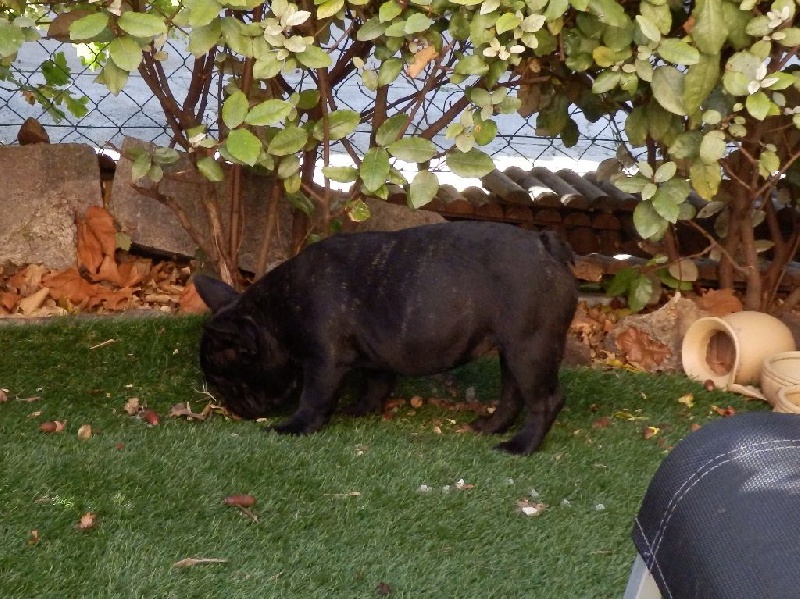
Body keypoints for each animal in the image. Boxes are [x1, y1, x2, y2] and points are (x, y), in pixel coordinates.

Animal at [194, 221, 577, 455]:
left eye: (226, 382)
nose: (232, 406)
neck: (275, 312)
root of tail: (545, 245)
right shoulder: (375, 352)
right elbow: (377, 382)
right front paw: (361, 409)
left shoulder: (324, 361)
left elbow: (314, 398)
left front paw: (294, 426)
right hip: (513, 348)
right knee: (512, 394)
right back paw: (492, 427)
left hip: (530, 347)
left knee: (545, 400)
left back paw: (521, 447)